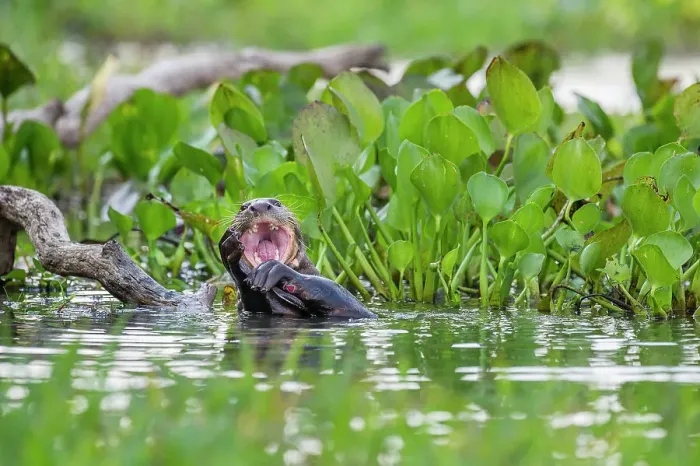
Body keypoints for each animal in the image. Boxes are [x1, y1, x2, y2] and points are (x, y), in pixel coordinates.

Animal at [218, 198, 376, 319]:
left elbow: (356, 307)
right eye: (243, 207)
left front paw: (274, 268)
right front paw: (230, 251)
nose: (259, 205)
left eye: (277, 203)